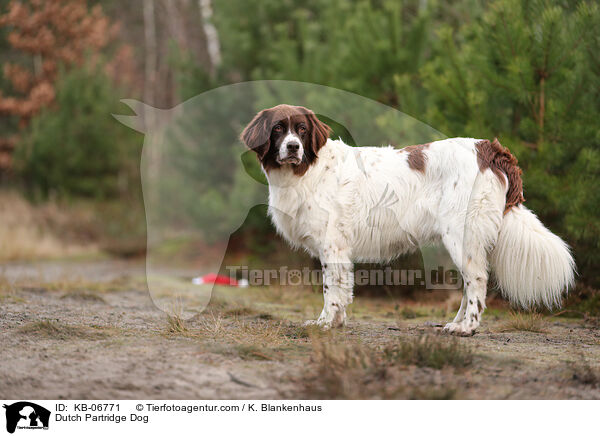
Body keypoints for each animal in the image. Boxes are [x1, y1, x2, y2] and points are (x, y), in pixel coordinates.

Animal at [240, 104, 576, 336]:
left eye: (302, 130)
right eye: (278, 129)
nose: (293, 147)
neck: (308, 170)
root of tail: (489, 149)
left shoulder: (333, 246)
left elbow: (331, 289)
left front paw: (325, 323)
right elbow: (342, 289)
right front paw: (336, 323)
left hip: (462, 235)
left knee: (477, 282)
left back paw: (467, 328)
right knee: (469, 286)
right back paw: (454, 324)